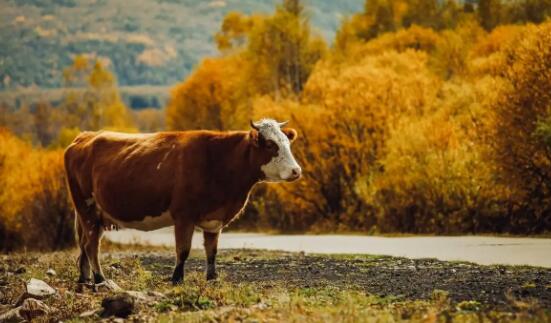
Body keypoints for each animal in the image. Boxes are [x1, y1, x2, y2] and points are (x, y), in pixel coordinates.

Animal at [64, 119, 302, 288]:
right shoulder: (183, 215)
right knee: (92, 245)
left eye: (287, 143)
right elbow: (183, 250)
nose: (296, 170)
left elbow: (212, 250)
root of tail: (85, 136)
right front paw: (177, 278)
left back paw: (84, 279)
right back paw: (100, 279)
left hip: (92, 214)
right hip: (86, 206)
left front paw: (212, 278)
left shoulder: (214, 219)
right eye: (270, 145)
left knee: (84, 243)